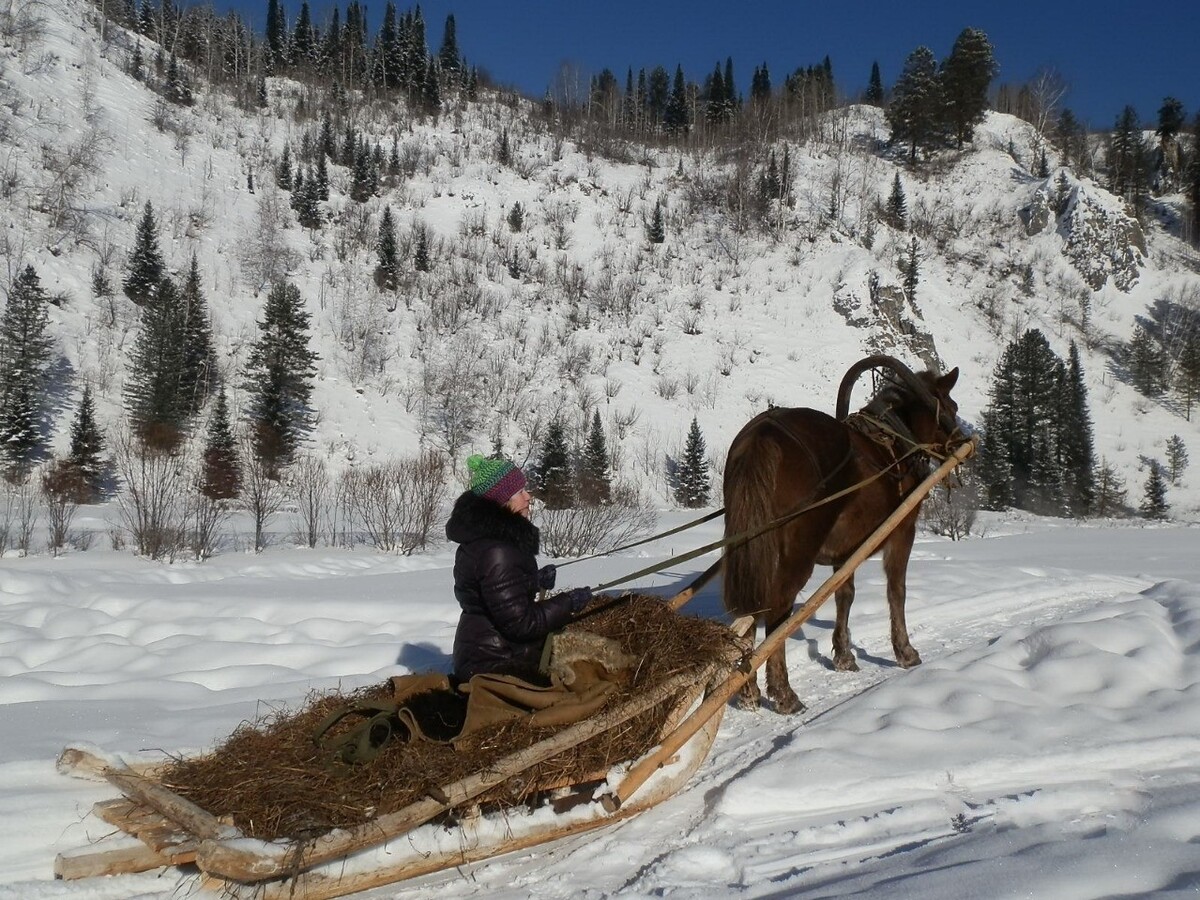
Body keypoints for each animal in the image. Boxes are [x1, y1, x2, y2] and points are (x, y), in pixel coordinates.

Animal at [720, 355, 964, 715]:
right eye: (951, 406)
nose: (962, 442)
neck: (896, 443)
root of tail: (763, 433)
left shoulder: (845, 549)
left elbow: (844, 594)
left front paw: (845, 656)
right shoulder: (902, 532)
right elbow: (896, 591)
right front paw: (905, 651)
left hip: (753, 547)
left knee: (752, 609)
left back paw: (748, 691)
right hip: (797, 554)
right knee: (777, 611)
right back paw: (784, 693)